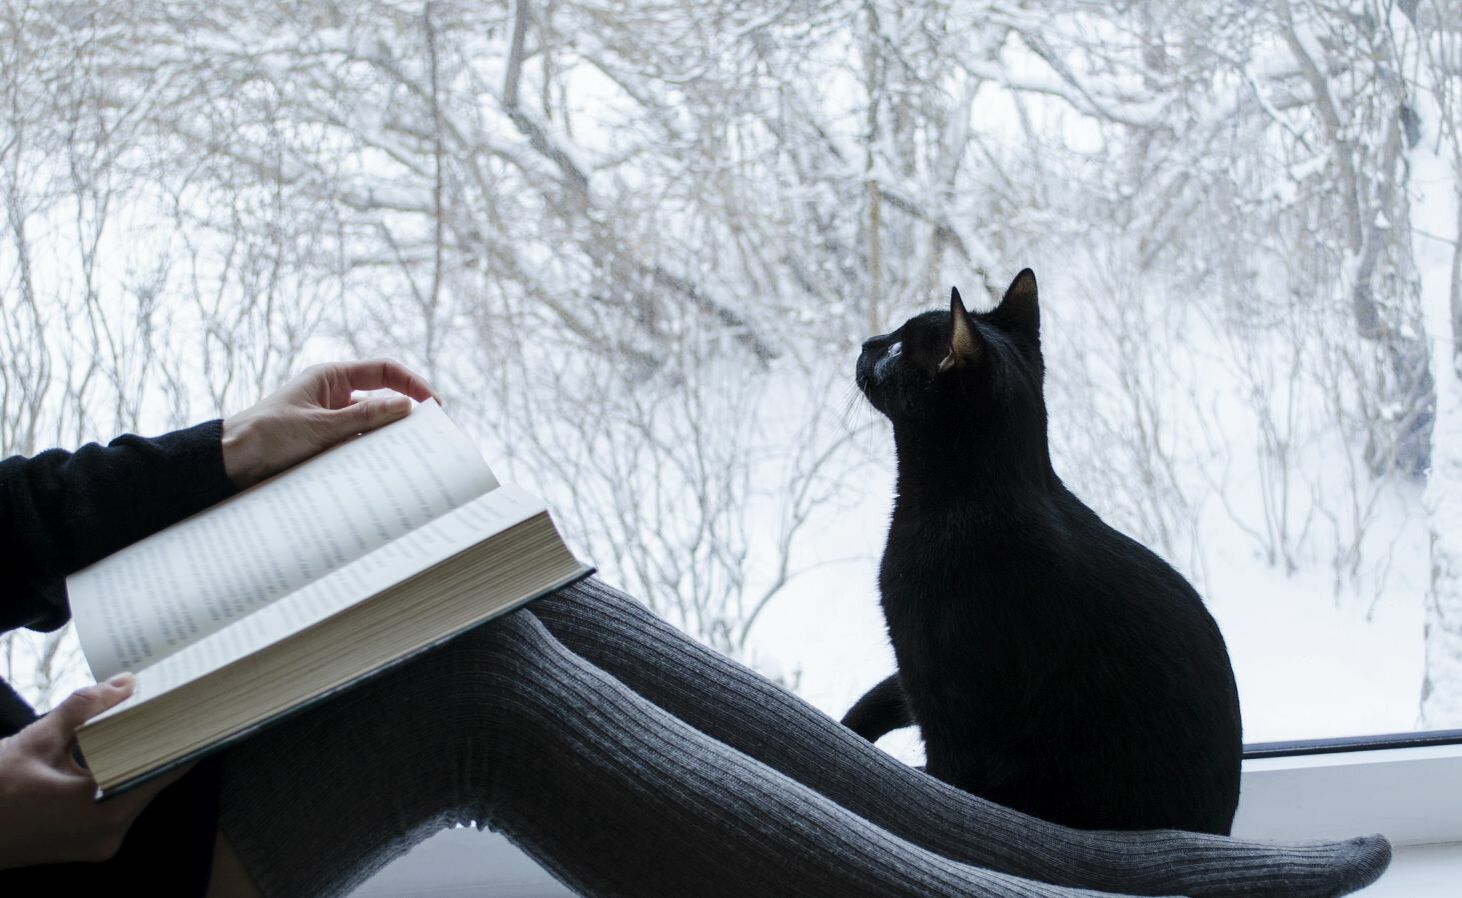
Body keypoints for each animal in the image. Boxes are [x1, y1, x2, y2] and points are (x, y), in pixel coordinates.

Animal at [847, 269, 1245, 836]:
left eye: (900, 346)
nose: (867, 343)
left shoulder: (949, 706)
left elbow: (943, 779)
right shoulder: (914, 675)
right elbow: (879, 696)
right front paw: (847, 726)